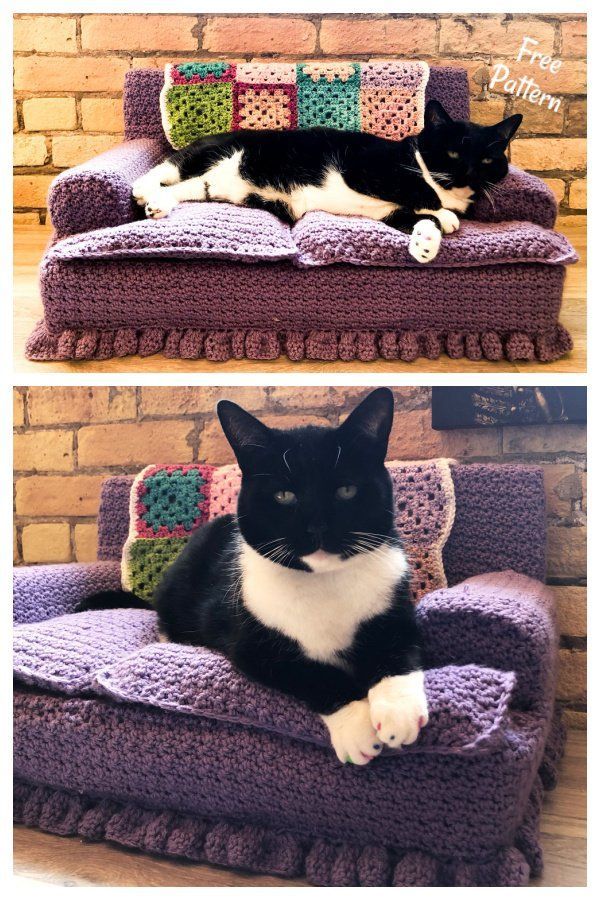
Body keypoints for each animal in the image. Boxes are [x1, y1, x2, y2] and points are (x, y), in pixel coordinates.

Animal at [79, 390, 428, 764]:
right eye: (284, 496)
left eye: (346, 490)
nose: (317, 526)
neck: (323, 582)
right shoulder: (252, 646)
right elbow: (311, 673)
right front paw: (356, 728)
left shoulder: (394, 605)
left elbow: (398, 647)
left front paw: (398, 712)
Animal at [131, 102, 520, 266]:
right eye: (453, 152)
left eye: (487, 160)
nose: (468, 172)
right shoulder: (364, 167)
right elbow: (418, 190)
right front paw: (444, 217)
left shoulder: (389, 213)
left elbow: (416, 216)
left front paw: (425, 241)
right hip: (216, 152)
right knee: (167, 167)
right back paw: (142, 189)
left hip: (213, 186)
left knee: (182, 189)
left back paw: (158, 204)